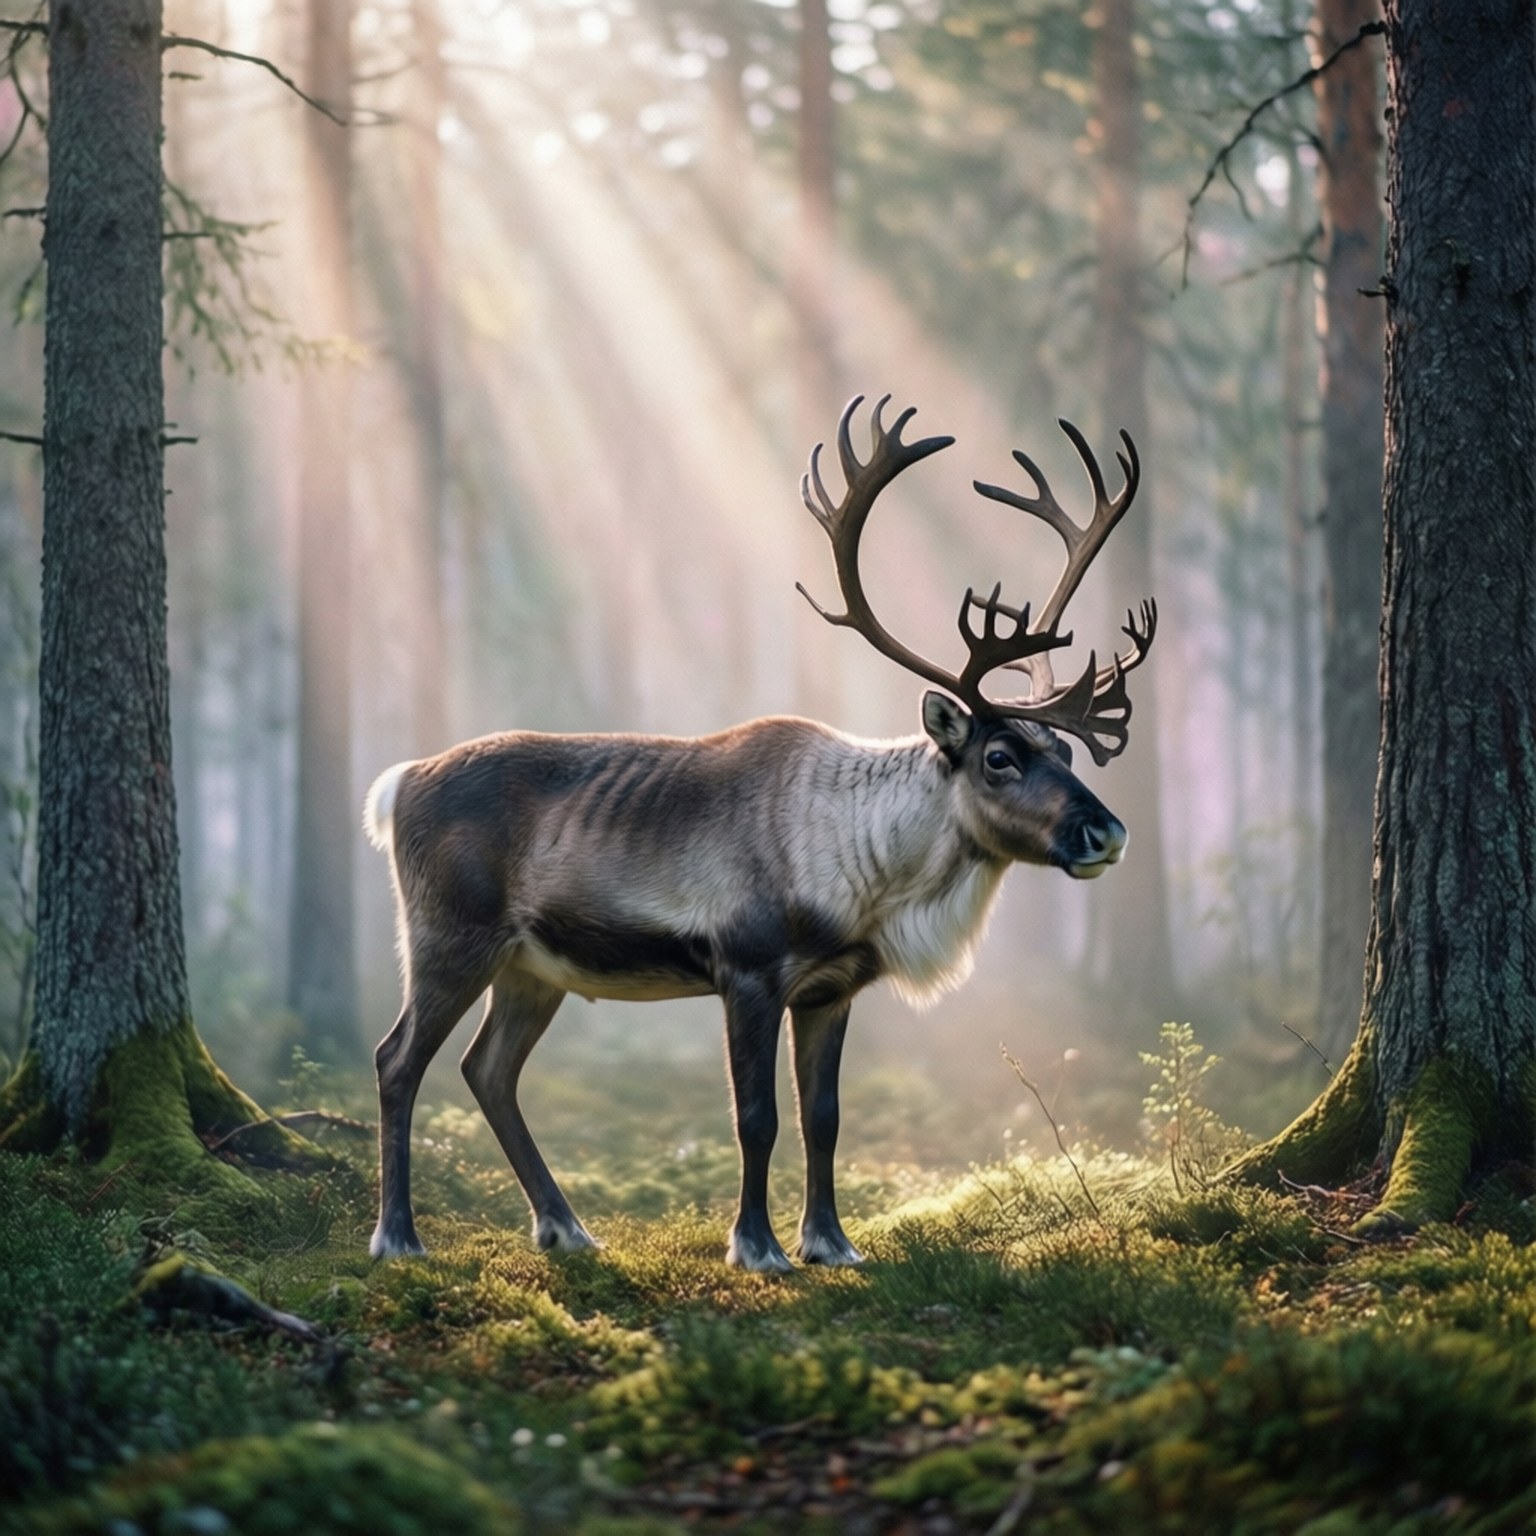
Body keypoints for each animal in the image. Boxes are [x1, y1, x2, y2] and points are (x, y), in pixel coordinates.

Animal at [364, 394, 1156, 1271]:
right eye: (999, 756)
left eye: (1067, 751)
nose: (1107, 832)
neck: (870, 880)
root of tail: (398, 784)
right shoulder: (745, 968)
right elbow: (756, 1117)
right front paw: (756, 1245)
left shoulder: (832, 988)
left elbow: (825, 1119)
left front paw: (832, 1243)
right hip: (449, 934)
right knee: (397, 1059)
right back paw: (398, 1236)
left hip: (532, 965)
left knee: (488, 1069)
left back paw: (566, 1227)